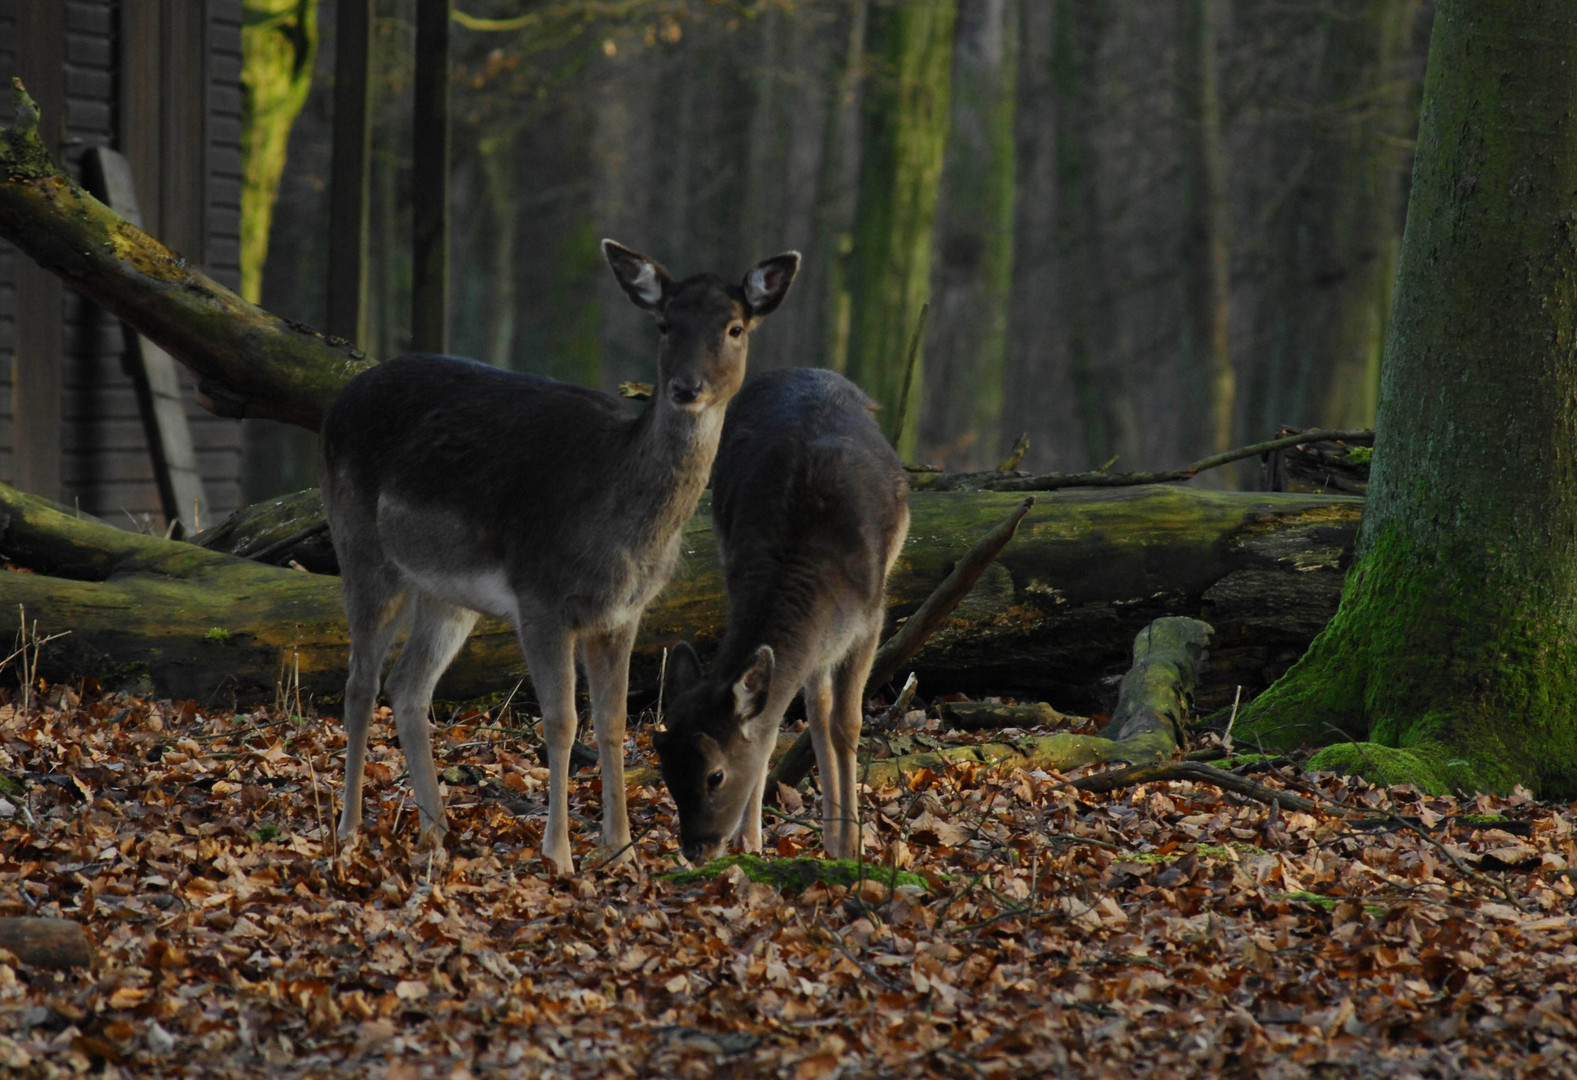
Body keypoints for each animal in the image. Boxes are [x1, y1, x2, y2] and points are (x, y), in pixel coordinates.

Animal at [326, 239, 807, 870]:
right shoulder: (542, 597)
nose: (687, 387)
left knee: (408, 686)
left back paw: (436, 830)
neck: (620, 533)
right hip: (360, 545)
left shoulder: (624, 613)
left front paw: (620, 849)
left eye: (734, 327)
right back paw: (350, 828)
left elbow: (613, 722)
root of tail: (339, 401)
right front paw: (559, 854)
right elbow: (561, 721)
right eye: (665, 323)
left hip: (446, 593)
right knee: (361, 684)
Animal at [656, 365, 914, 864]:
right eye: (665, 767)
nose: (696, 848)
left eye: (715, 774)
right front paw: (752, 842)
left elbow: (848, 724)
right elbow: (772, 728)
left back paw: (837, 839)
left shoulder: (871, 620)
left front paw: (852, 846)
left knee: (825, 710)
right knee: (815, 702)